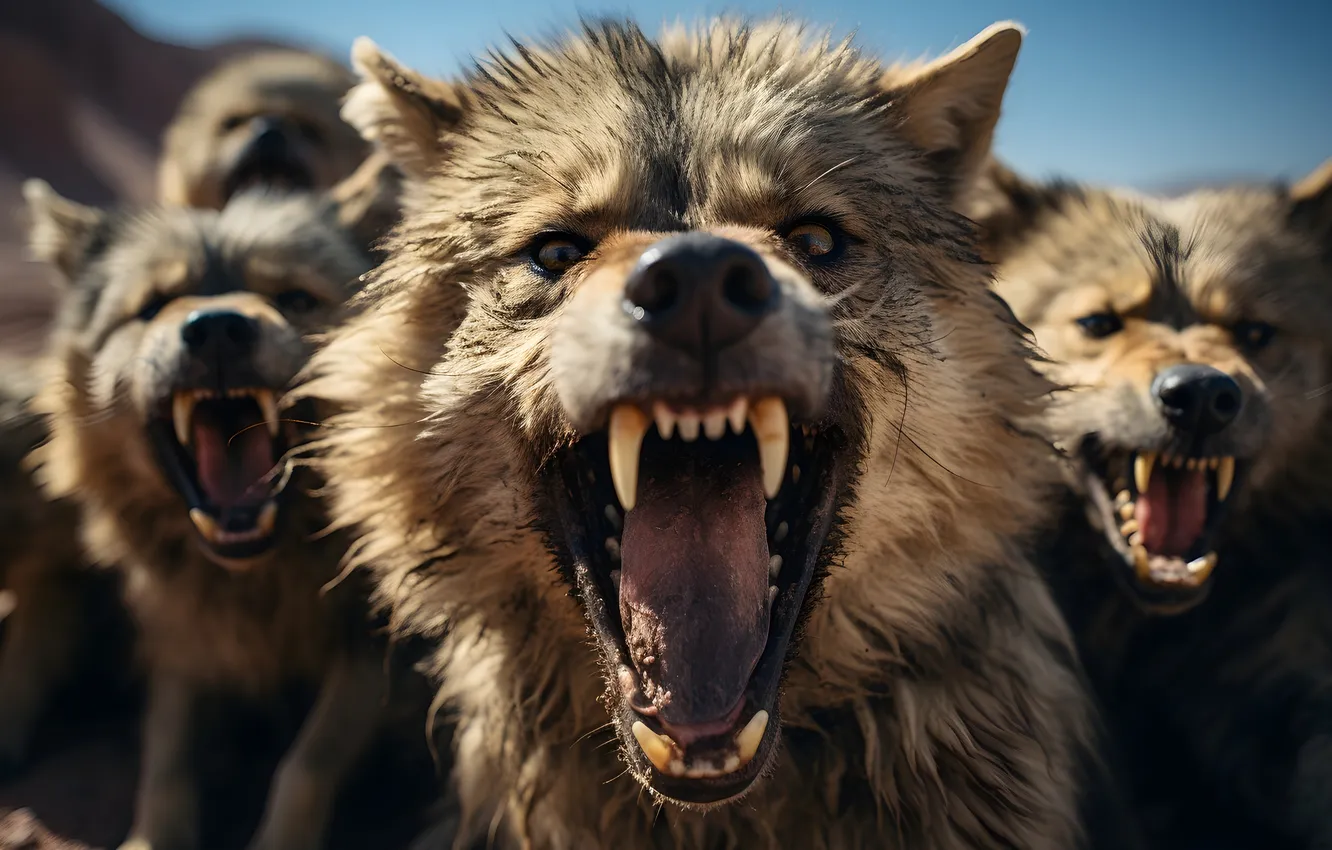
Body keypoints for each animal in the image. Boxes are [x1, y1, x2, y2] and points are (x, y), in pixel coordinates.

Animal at [24, 170, 398, 850]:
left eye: (294, 298)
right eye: (153, 306)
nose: (219, 328)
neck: (258, 579)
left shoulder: (376, 650)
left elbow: (305, 764)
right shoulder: (184, 639)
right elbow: (166, 757)